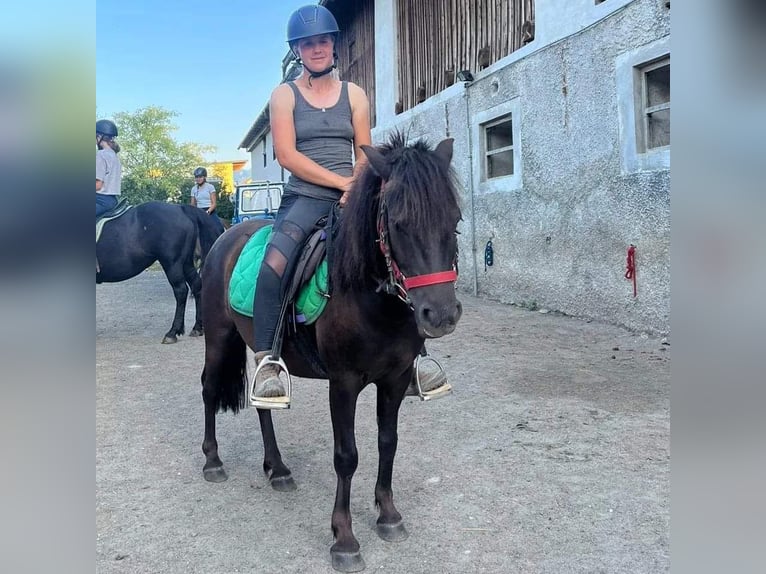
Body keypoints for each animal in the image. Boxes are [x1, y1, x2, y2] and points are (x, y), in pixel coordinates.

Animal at [96, 202, 222, 344]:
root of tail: (181, 209)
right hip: (186, 263)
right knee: (196, 286)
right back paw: (197, 328)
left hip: (172, 263)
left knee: (181, 291)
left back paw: (172, 332)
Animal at [198, 134, 462, 572]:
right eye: (398, 224)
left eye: (455, 219)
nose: (441, 314)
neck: (369, 299)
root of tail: (225, 236)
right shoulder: (343, 383)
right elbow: (347, 456)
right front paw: (345, 539)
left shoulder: (394, 379)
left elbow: (388, 442)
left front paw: (389, 515)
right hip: (218, 338)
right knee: (207, 388)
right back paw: (213, 461)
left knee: (263, 399)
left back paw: (278, 468)